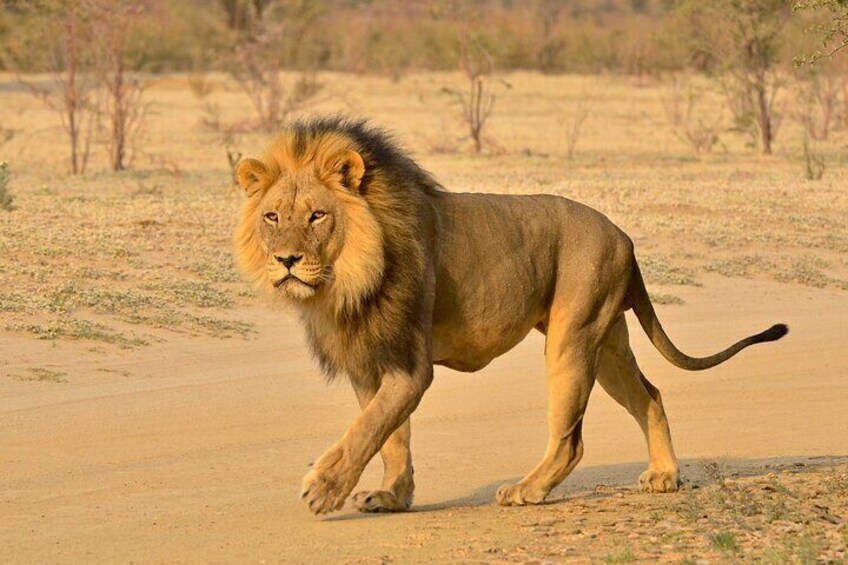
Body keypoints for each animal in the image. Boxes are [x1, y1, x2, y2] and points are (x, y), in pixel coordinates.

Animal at [233, 116, 787, 515]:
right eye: (272, 216)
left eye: (317, 216)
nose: (285, 260)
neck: (348, 278)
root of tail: (624, 237)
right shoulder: (369, 363)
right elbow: (390, 435)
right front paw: (393, 496)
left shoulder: (411, 366)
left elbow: (366, 431)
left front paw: (323, 488)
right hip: (608, 340)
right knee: (649, 395)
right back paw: (666, 476)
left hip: (572, 338)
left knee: (571, 439)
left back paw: (528, 490)